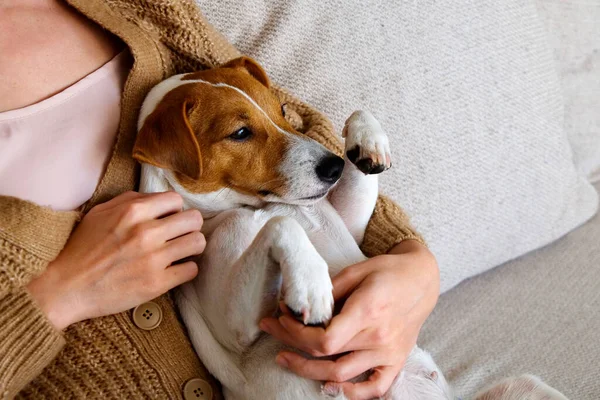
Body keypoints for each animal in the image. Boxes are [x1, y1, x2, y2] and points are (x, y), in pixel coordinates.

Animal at [134, 57, 568, 400]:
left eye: (282, 110)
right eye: (240, 133)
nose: (334, 166)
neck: (252, 206)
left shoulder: (352, 226)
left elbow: (358, 117)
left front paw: (367, 142)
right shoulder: (233, 329)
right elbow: (282, 225)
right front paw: (311, 283)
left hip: (532, 387)